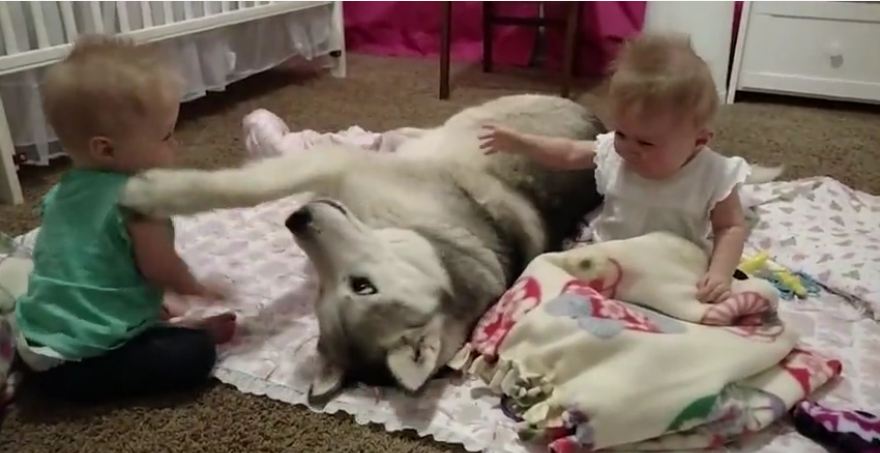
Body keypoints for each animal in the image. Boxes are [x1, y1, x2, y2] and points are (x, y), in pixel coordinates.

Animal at [120, 93, 780, 400]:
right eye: (319, 295)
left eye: (360, 287)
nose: (297, 221)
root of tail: (597, 117)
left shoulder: (335, 167)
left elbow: (242, 184)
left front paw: (151, 191)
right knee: (406, 133)